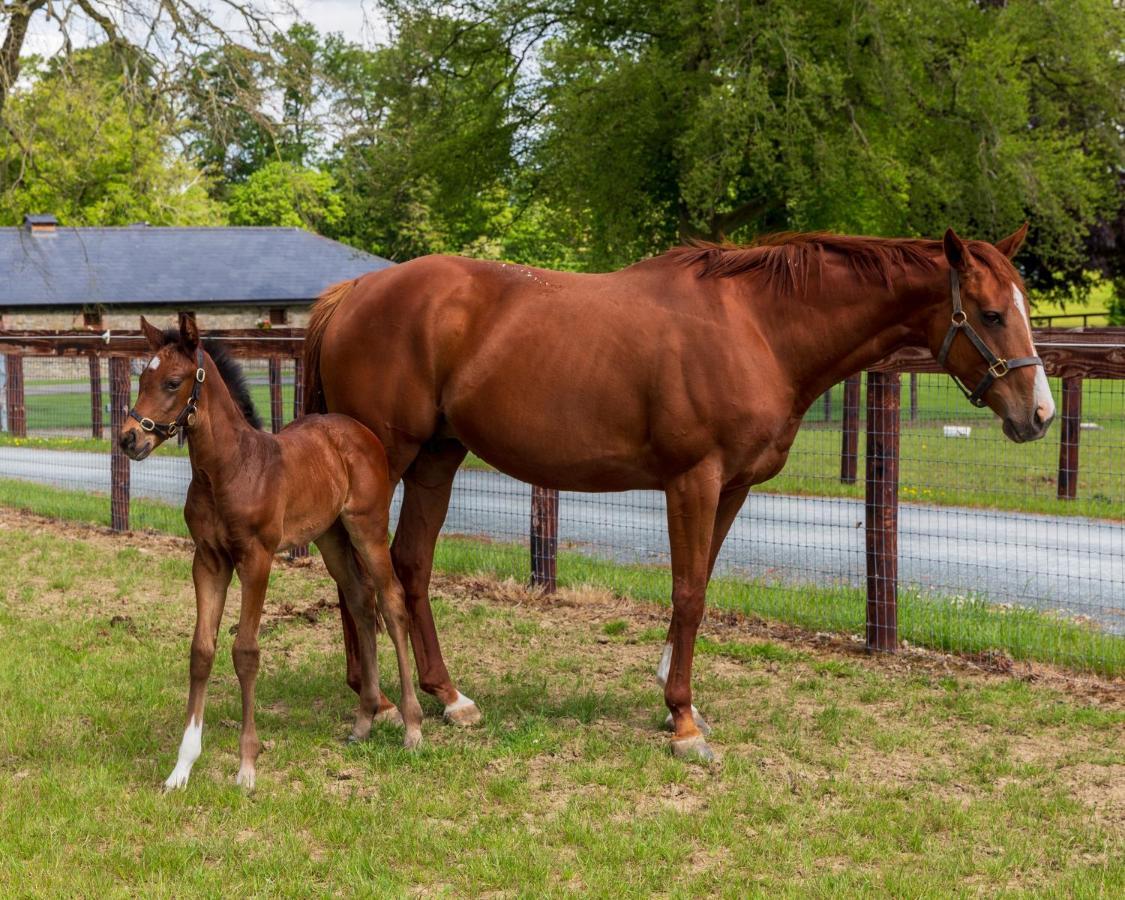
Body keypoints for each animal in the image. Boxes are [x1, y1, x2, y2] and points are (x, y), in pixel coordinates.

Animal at [119, 312, 423, 792]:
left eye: (172, 382)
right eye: (140, 378)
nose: (128, 440)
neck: (229, 470)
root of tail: (358, 430)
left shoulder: (257, 559)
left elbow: (246, 652)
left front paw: (247, 766)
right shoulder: (208, 560)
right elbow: (201, 651)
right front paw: (181, 768)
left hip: (366, 527)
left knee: (392, 602)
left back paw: (412, 727)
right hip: (330, 536)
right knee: (360, 599)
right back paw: (363, 723)